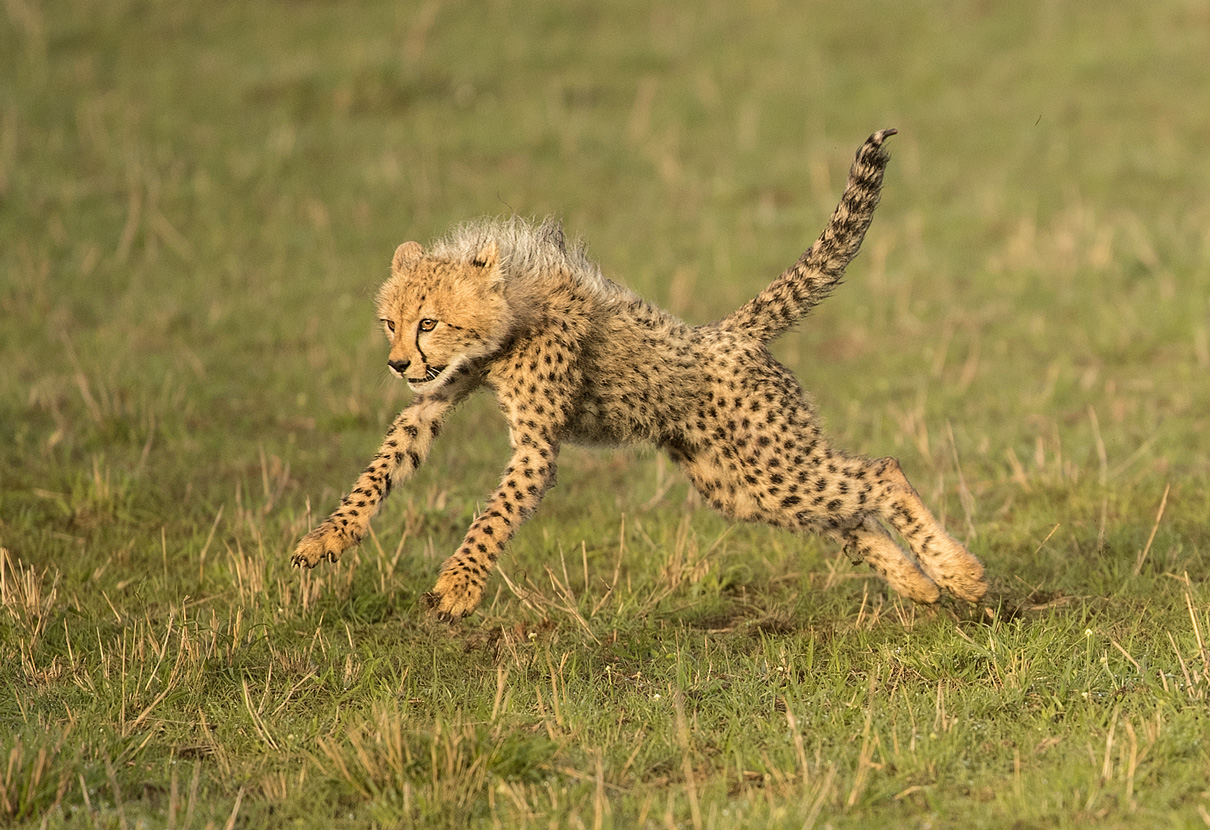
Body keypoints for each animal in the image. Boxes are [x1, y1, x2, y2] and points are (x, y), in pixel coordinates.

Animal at [287, 130, 987, 619]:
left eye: (428, 323)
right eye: (390, 323)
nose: (398, 362)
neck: (509, 316)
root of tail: (730, 332)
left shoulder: (535, 446)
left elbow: (495, 514)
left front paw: (458, 585)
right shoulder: (436, 397)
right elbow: (385, 462)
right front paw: (326, 539)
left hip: (771, 462)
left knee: (881, 474)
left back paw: (959, 573)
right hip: (741, 486)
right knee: (847, 513)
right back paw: (919, 585)